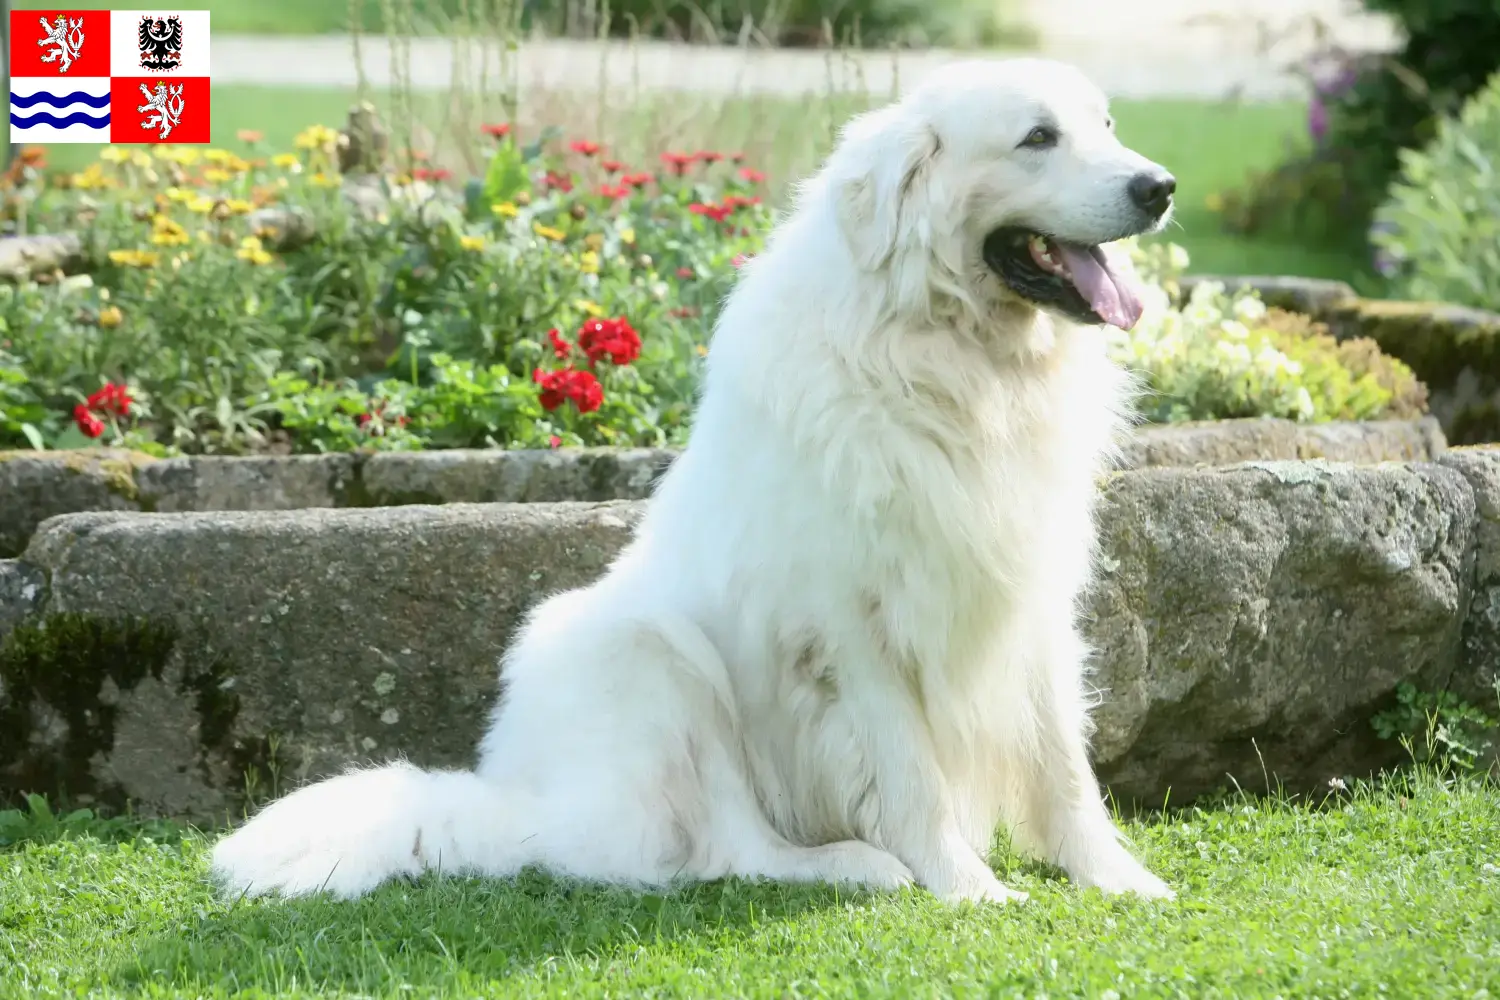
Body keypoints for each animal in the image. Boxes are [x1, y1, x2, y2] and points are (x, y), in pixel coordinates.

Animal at [211, 56, 1170, 905]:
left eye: (1107, 125)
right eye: (1037, 137)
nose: (1158, 186)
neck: (949, 366)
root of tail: (518, 806)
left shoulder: (1030, 596)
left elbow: (1066, 767)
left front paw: (1119, 881)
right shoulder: (849, 626)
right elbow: (911, 777)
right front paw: (968, 889)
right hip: (654, 655)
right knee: (724, 852)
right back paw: (853, 865)